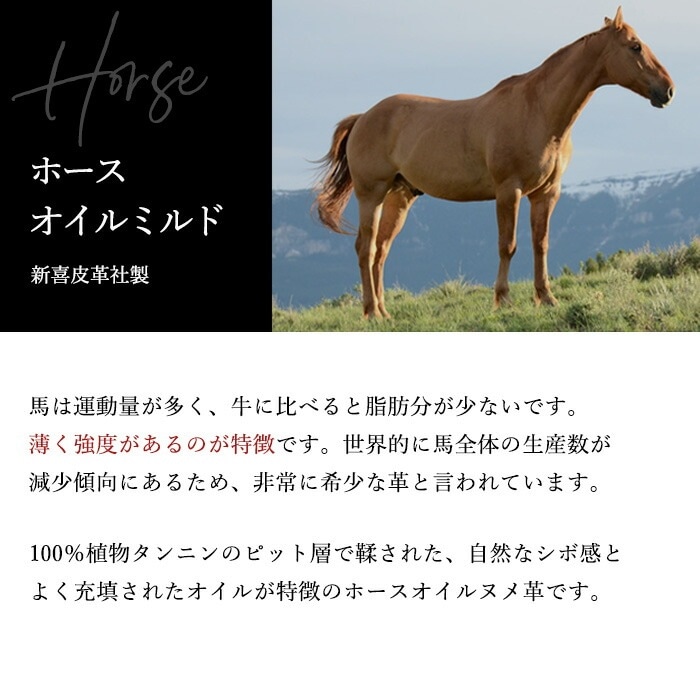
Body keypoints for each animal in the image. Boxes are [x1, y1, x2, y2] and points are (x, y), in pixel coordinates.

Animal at [312, 6, 674, 319]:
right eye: (635, 46)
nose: (668, 90)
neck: (539, 111)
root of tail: (363, 117)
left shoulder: (546, 193)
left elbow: (541, 244)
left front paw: (546, 298)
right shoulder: (508, 191)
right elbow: (507, 245)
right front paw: (503, 300)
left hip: (399, 197)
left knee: (381, 250)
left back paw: (384, 311)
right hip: (371, 194)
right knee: (366, 248)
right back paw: (371, 311)